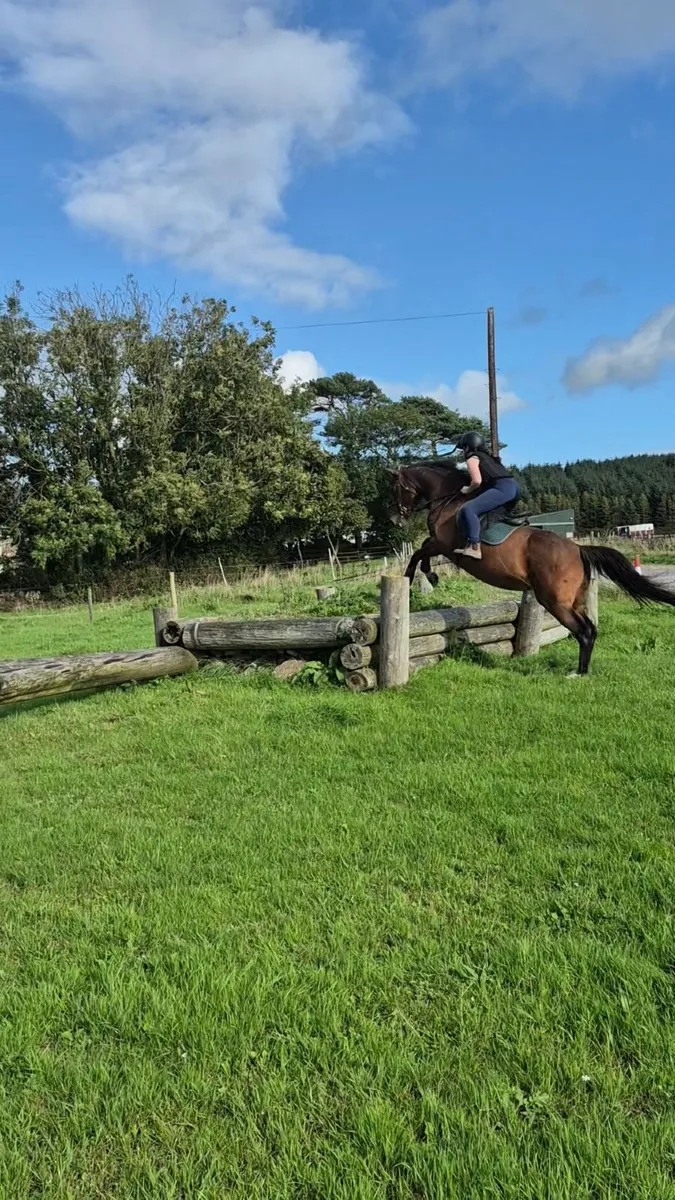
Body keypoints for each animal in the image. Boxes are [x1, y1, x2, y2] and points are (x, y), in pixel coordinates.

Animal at [389, 462, 675, 675]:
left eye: (396, 488)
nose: (395, 520)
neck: (449, 500)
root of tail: (578, 548)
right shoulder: (441, 545)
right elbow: (421, 549)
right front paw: (427, 575)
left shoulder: (444, 544)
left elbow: (420, 551)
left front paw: (418, 576)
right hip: (573, 600)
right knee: (591, 629)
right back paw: (583, 670)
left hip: (554, 601)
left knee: (583, 632)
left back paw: (578, 673)